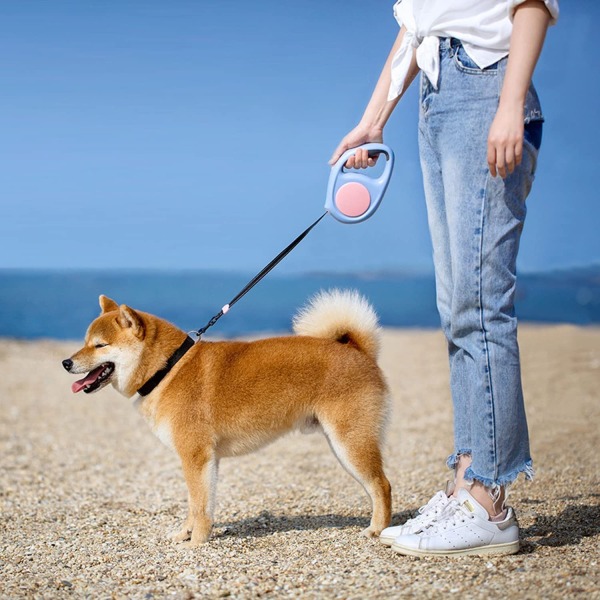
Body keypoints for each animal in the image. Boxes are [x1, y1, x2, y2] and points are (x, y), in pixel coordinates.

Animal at [63, 288, 392, 548]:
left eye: (100, 345)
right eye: (85, 341)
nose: (66, 362)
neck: (167, 368)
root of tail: (357, 350)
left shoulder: (195, 456)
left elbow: (198, 506)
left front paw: (196, 543)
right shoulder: (208, 460)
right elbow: (199, 505)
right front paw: (186, 535)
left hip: (349, 442)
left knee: (382, 485)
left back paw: (377, 530)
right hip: (342, 445)